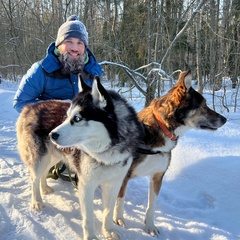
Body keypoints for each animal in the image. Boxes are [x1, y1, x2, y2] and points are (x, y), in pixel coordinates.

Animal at [17, 76, 144, 240]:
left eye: (77, 118)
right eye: (66, 116)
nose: (52, 135)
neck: (106, 154)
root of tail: (30, 106)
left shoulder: (114, 183)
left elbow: (108, 212)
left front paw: (108, 230)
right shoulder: (86, 184)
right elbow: (88, 217)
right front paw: (91, 236)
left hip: (53, 157)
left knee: (43, 174)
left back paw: (44, 189)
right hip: (41, 157)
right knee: (34, 178)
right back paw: (37, 201)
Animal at [113, 71, 227, 236]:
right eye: (204, 106)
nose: (225, 119)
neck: (160, 128)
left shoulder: (157, 176)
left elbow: (151, 206)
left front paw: (150, 226)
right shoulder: (123, 175)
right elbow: (119, 199)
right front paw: (118, 219)